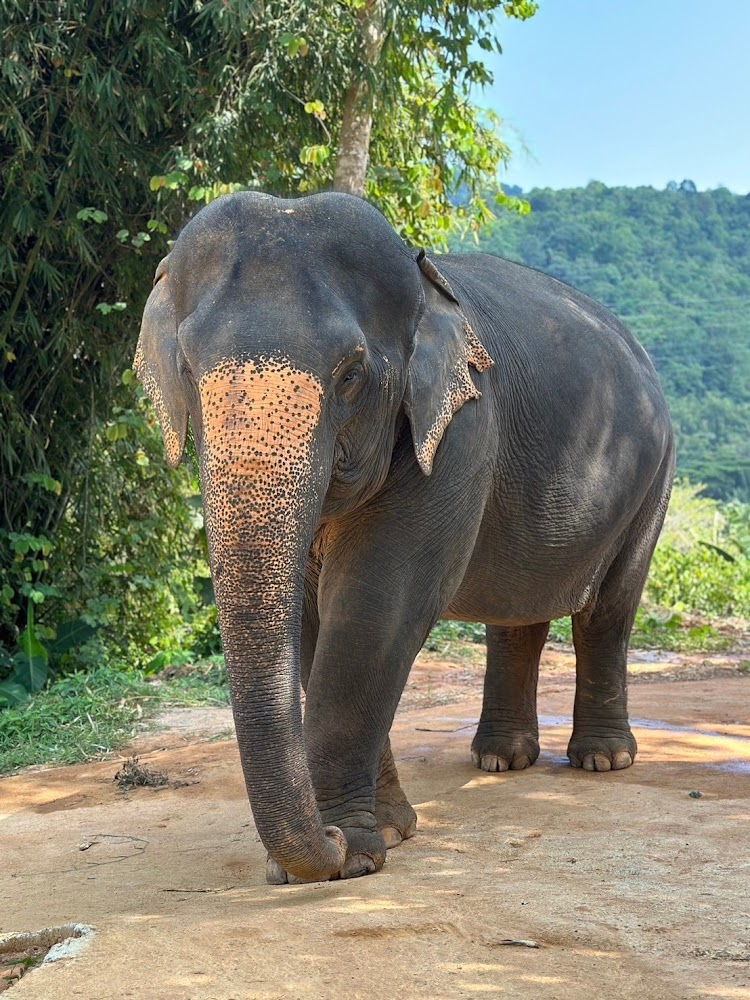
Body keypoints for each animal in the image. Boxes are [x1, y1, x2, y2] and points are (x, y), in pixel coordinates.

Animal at [134, 190, 674, 885]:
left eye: (350, 374)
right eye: (186, 366)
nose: (329, 838)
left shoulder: (462, 426)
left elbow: (374, 609)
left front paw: (354, 855)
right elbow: (315, 620)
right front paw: (384, 833)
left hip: (655, 477)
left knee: (609, 609)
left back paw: (602, 761)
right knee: (517, 613)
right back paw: (501, 759)